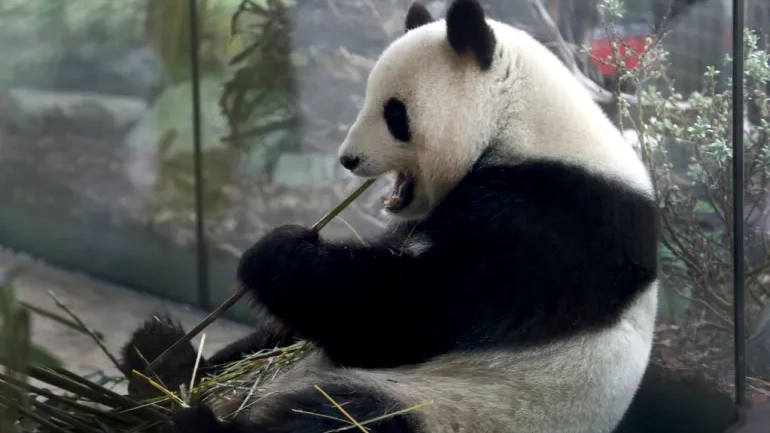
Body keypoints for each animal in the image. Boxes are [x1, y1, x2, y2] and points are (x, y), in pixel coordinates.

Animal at [118, 0, 660, 430]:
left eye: (394, 113)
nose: (348, 160)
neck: (523, 123)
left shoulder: (550, 224)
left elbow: (405, 315)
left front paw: (273, 250)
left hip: (448, 404)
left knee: (339, 416)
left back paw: (193, 419)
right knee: (263, 347)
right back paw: (158, 360)